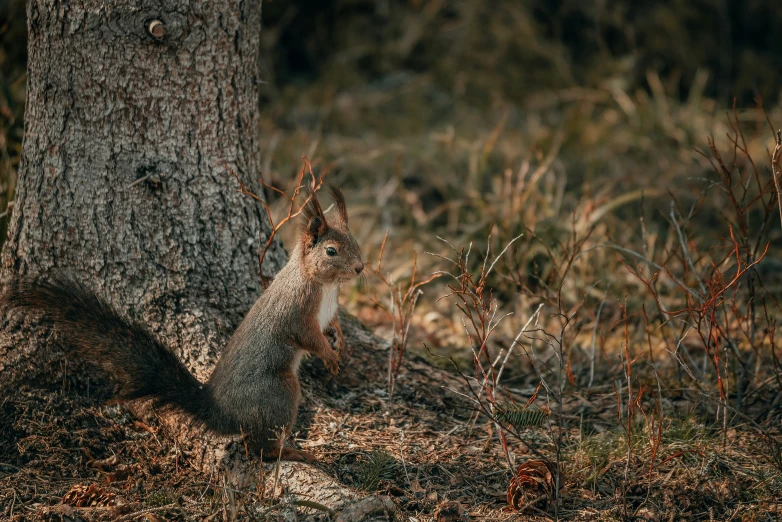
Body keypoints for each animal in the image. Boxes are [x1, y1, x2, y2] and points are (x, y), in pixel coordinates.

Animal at [0, 186, 368, 460]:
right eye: (332, 251)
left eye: (355, 241)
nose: (361, 268)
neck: (325, 286)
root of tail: (221, 412)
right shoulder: (296, 311)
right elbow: (307, 337)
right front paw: (329, 355)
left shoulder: (328, 309)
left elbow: (333, 323)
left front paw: (339, 340)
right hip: (278, 392)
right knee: (259, 447)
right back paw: (290, 452)